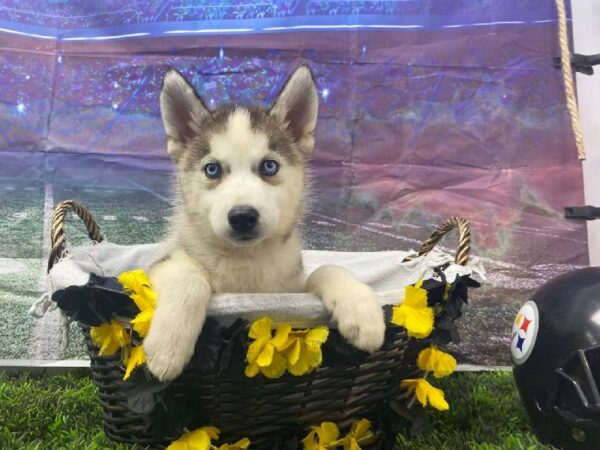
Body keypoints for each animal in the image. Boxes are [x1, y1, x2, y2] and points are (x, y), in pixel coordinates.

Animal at [145, 64, 384, 380]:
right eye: (212, 169)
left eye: (269, 166)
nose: (243, 217)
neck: (245, 259)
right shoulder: (156, 268)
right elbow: (191, 277)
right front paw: (168, 346)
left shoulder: (291, 291)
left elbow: (326, 269)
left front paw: (361, 310)